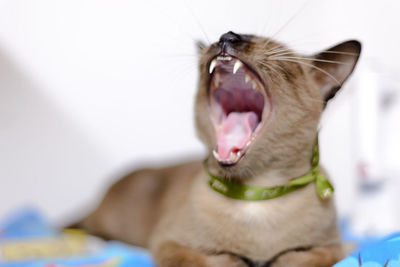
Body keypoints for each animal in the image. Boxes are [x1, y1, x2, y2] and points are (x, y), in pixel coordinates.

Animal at [70, 31, 360, 267]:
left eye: (277, 52)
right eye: (227, 37)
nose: (228, 36)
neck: (256, 193)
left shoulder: (332, 247)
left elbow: (294, 259)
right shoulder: (169, 243)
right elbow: (216, 261)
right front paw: (243, 260)